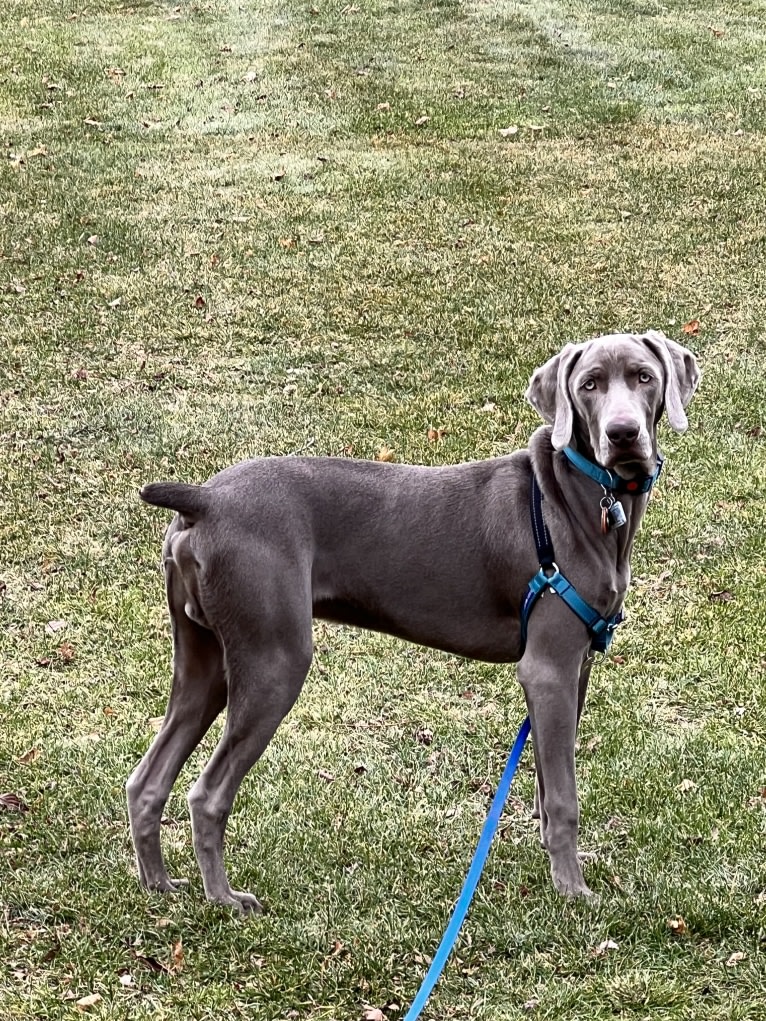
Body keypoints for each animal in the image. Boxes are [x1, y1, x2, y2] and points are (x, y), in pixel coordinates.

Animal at [127, 330, 702, 914]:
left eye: (644, 377)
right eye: (589, 385)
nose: (623, 433)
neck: (585, 499)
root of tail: (206, 499)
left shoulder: (575, 668)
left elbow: (546, 784)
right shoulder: (549, 668)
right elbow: (564, 796)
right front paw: (573, 892)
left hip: (205, 660)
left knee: (145, 778)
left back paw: (159, 884)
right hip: (274, 659)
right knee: (207, 793)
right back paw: (224, 899)